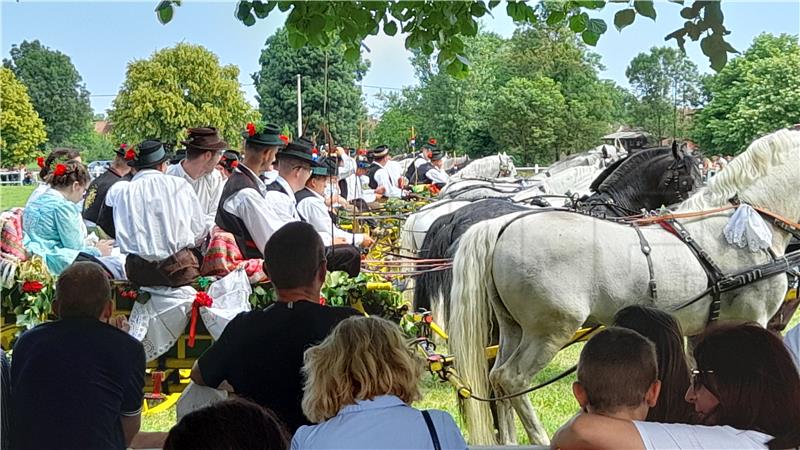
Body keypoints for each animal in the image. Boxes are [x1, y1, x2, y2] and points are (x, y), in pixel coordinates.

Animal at [450, 128, 800, 444]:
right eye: (686, 179)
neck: (736, 227)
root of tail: (502, 225)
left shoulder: (700, 331)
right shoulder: (753, 321)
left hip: (513, 328)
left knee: (495, 378)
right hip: (549, 331)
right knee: (512, 379)